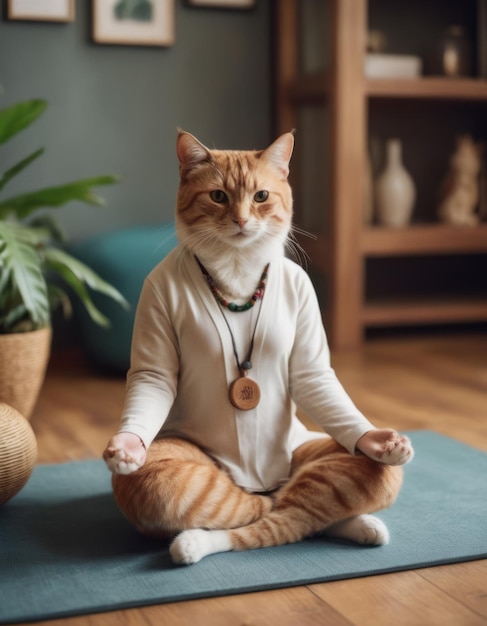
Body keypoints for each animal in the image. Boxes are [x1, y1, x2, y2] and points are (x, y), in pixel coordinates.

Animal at [105, 129, 414, 564]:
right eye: (218, 196)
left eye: (261, 196)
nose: (240, 219)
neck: (236, 267)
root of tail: (257, 482)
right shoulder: (154, 301)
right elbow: (153, 378)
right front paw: (128, 444)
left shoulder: (307, 311)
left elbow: (315, 378)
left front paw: (376, 439)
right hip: (168, 472)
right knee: (268, 512)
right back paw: (194, 541)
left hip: (317, 455)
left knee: (301, 509)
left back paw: (365, 511)